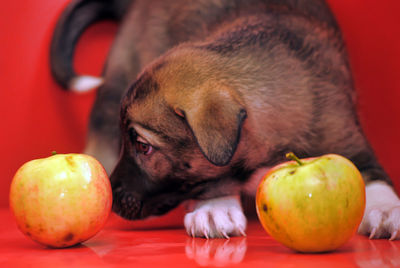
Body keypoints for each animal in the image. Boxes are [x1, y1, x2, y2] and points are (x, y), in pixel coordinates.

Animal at [50, 0, 400, 239]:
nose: (112, 193)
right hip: (118, 74)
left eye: (144, 147)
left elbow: (376, 180)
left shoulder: (349, 141)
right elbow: (213, 181)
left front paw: (386, 211)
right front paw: (213, 210)